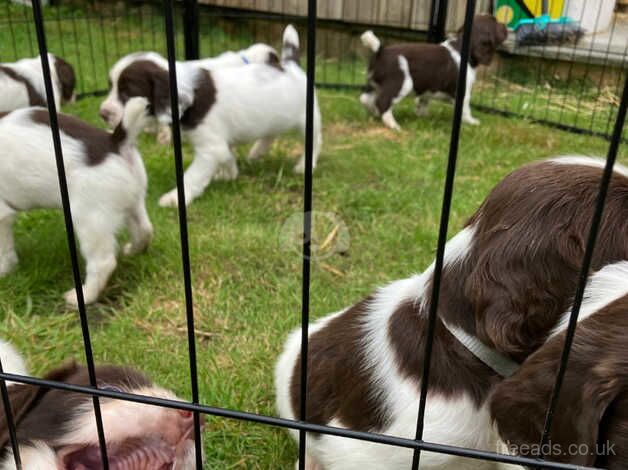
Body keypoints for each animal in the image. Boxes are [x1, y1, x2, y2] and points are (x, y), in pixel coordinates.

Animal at [0, 97, 153, 306]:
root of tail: (115, 142)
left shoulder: (2, 215)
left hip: (90, 219)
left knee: (103, 262)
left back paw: (84, 295)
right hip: (132, 202)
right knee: (145, 230)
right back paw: (133, 250)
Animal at [358, 15, 506, 129]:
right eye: (495, 22)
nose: (505, 25)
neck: (460, 47)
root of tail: (380, 51)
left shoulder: (427, 90)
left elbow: (422, 102)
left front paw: (423, 117)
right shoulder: (463, 93)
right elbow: (465, 109)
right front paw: (471, 121)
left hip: (374, 84)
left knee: (365, 99)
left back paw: (374, 112)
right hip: (401, 84)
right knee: (382, 101)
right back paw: (393, 124)